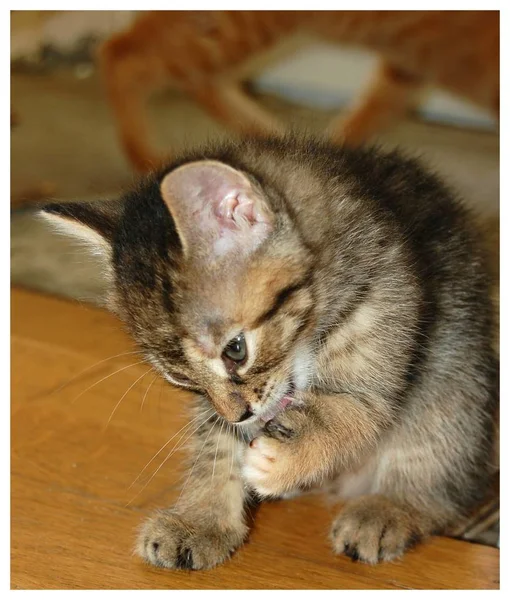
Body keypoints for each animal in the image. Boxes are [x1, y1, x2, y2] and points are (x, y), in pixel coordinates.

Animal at [40, 137, 498, 572]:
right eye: (181, 378)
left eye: (235, 350)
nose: (240, 415)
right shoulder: (221, 410)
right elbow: (214, 448)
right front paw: (200, 521)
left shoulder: (382, 342)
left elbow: (347, 414)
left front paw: (287, 457)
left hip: (456, 371)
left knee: (438, 464)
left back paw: (388, 509)